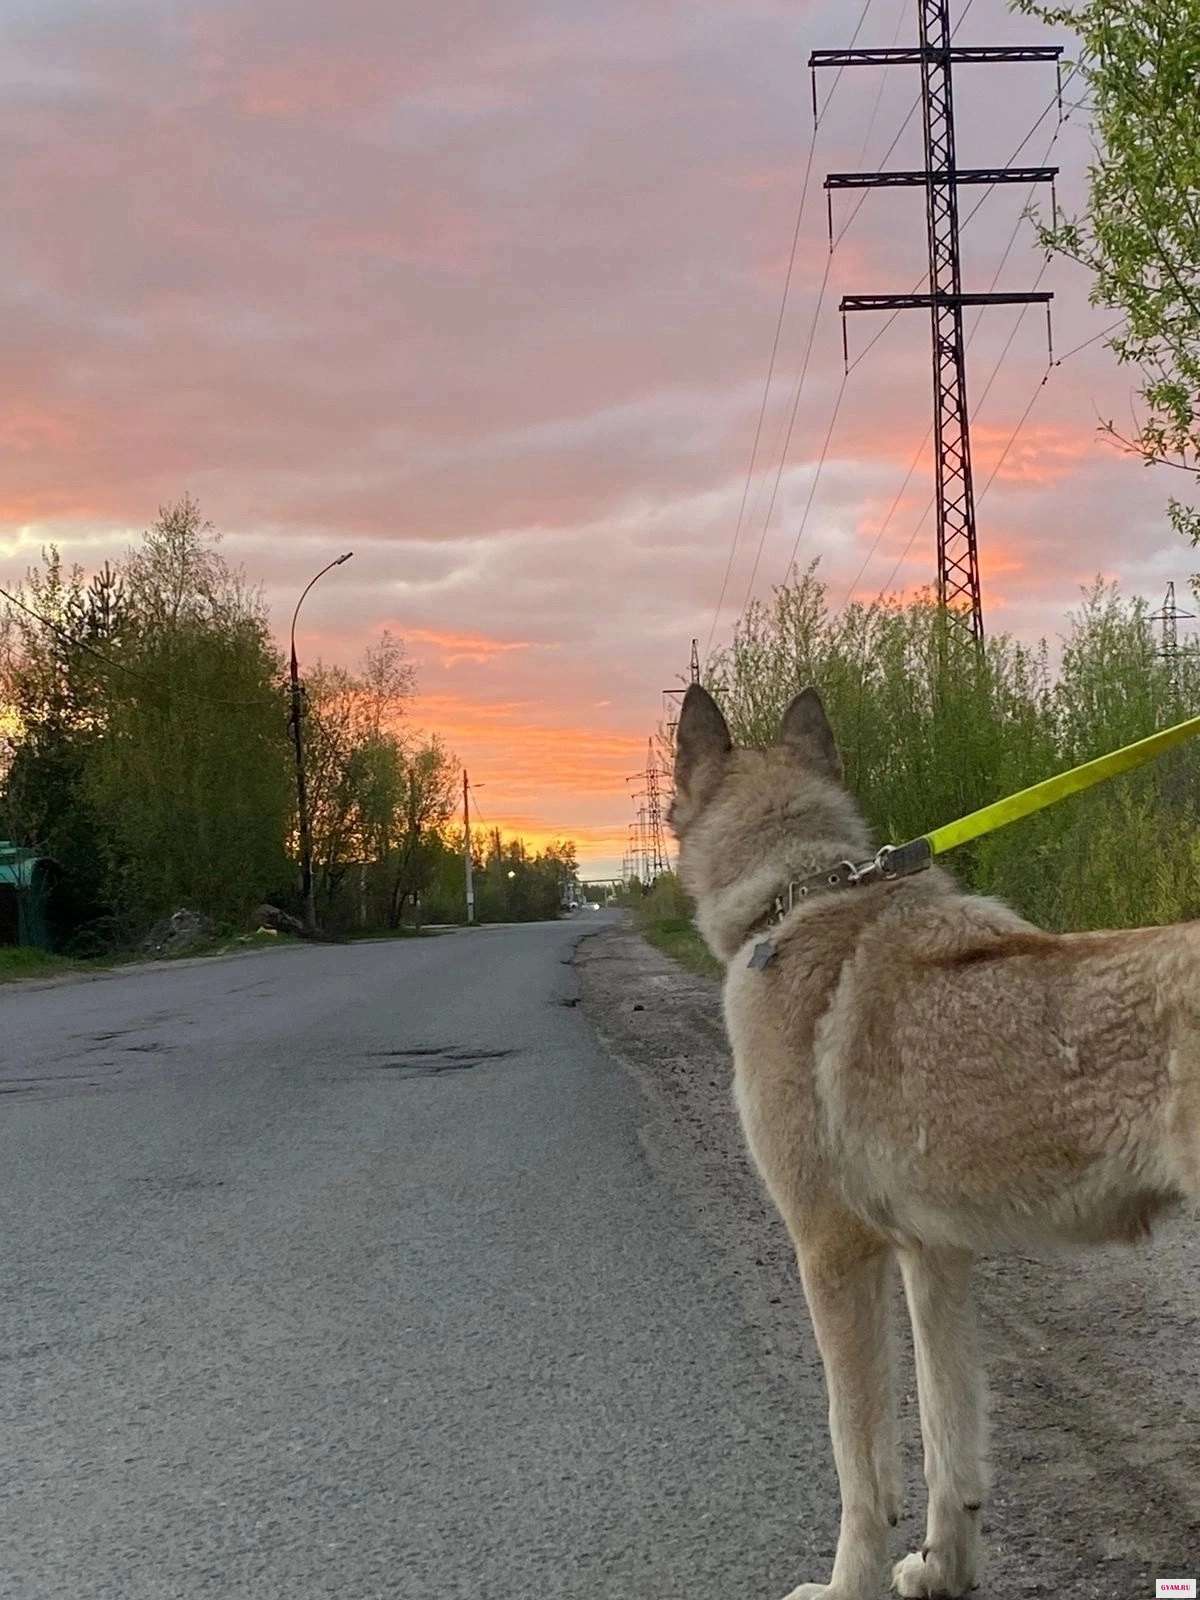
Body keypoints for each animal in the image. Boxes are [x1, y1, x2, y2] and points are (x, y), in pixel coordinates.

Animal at [668, 682, 1198, 1599]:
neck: (797, 894)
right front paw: (944, 1569)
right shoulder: (934, 1256)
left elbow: (860, 1462)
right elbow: (952, 1449)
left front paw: (847, 1586)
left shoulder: (833, 1254)